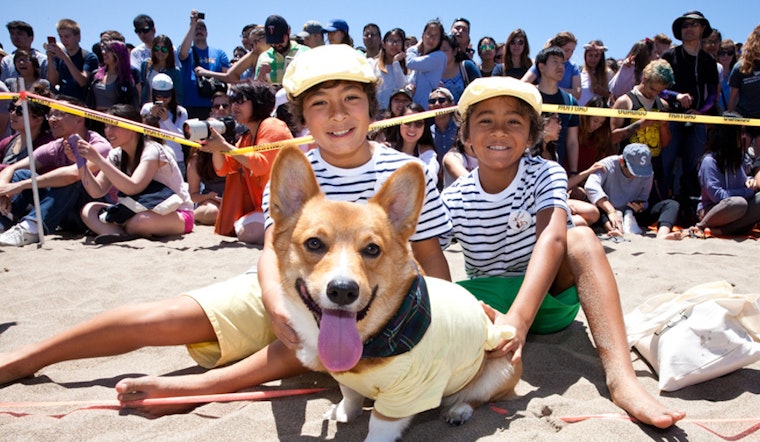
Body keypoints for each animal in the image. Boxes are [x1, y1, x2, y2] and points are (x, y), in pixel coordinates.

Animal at [268, 148, 524, 442]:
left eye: (372, 249)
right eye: (313, 243)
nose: (343, 291)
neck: (375, 337)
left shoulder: (404, 395)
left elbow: (379, 425)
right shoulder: (347, 378)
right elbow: (350, 395)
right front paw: (343, 412)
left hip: (501, 366)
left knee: (476, 397)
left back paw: (459, 410)